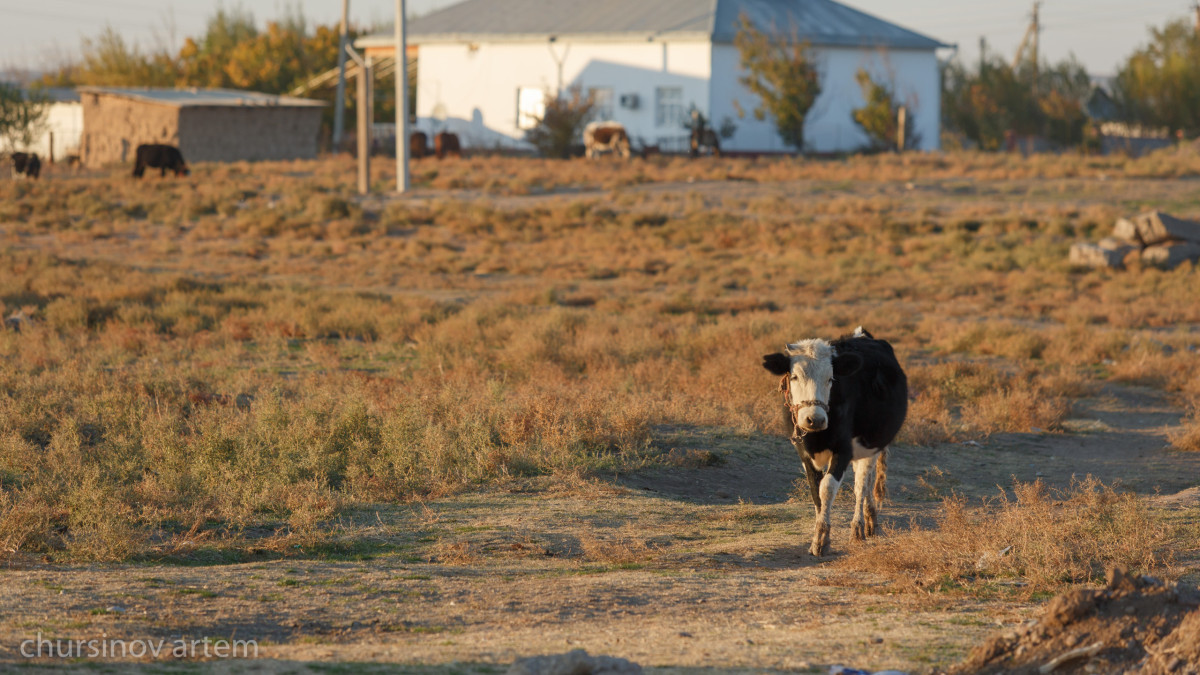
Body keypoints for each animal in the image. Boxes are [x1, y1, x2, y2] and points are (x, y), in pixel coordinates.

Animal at [763, 324, 902, 554]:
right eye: (794, 377)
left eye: (831, 378)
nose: (815, 419)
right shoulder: (804, 453)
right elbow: (816, 491)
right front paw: (820, 534)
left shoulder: (844, 450)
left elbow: (827, 488)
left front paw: (821, 540)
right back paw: (869, 520)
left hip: (871, 445)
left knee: (862, 483)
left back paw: (859, 527)